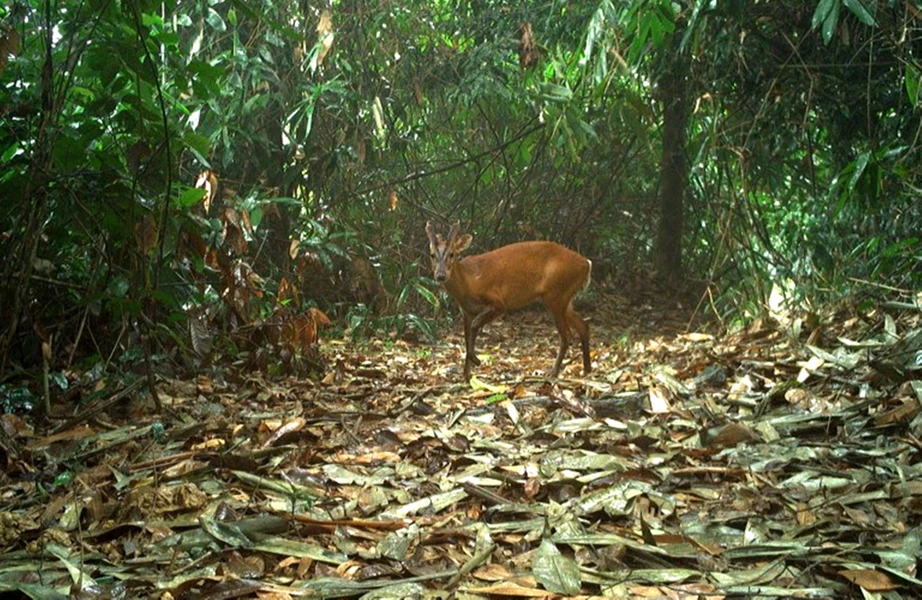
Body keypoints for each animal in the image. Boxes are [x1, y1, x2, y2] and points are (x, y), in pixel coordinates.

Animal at [424, 220, 588, 380]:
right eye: (432, 255)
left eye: (452, 254)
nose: (440, 275)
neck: (468, 281)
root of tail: (586, 263)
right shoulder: (466, 311)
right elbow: (466, 336)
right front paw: (466, 375)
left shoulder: (498, 302)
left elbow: (475, 326)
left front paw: (476, 361)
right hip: (563, 298)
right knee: (583, 326)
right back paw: (586, 369)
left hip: (555, 295)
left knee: (566, 335)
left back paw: (553, 372)